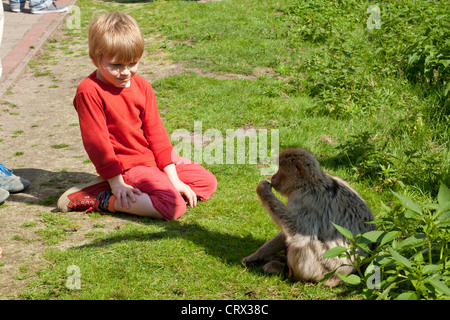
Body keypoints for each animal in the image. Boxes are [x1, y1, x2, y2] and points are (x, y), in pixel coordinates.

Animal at [243, 148, 376, 288]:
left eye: (279, 171)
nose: (273, 176)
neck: (309, 182)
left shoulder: (305, 198)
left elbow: (299, 232)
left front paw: (262, 189)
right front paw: (256, 256)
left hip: (326, 267)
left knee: (305, 242)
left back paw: (287, 272)